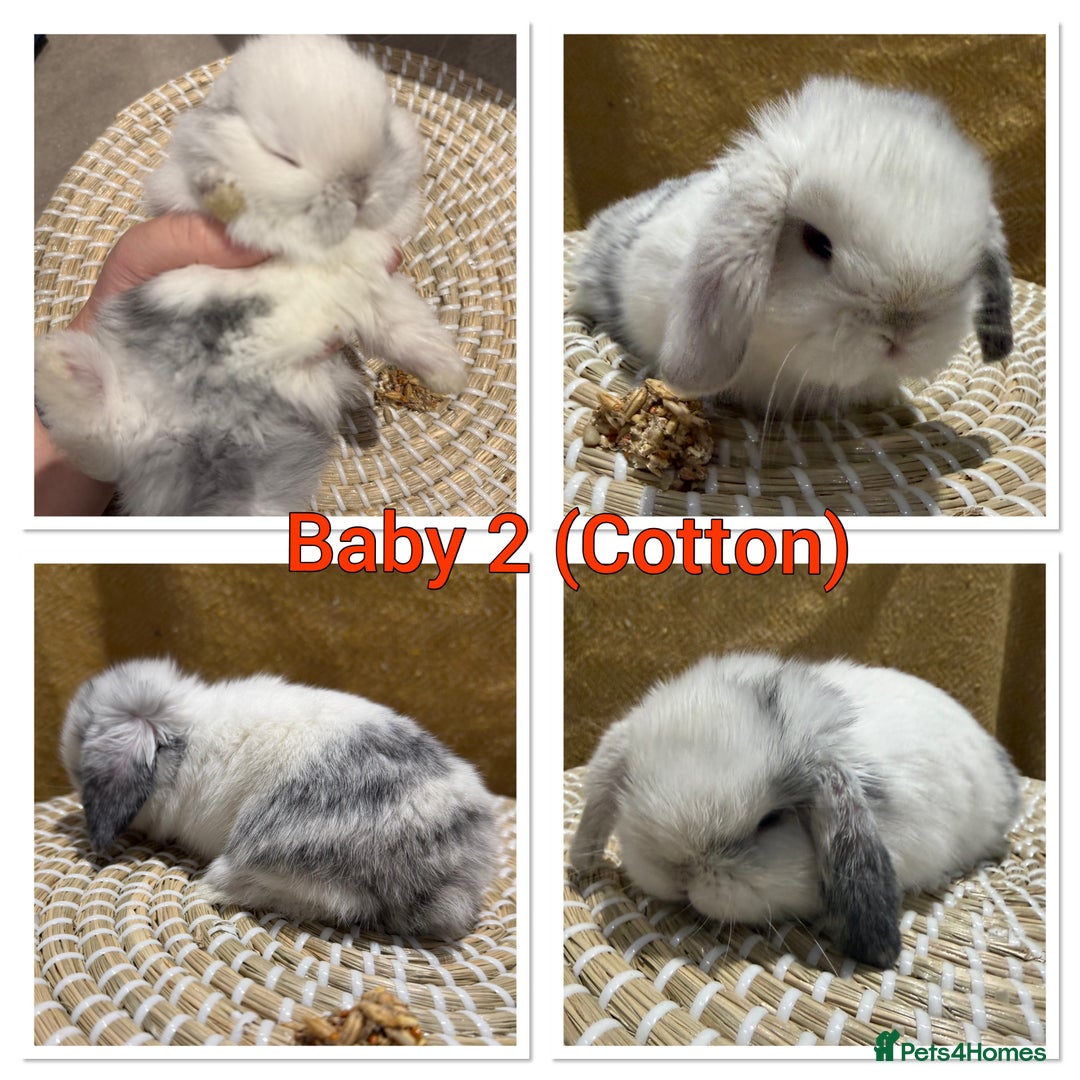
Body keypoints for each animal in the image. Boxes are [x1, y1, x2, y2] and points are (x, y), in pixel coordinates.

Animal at [35, 34, 467, 516]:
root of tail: (187, 439)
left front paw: (450, 376)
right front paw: (224, 190)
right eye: (283, 156)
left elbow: (407, 331)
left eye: (387, 134)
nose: (359, 187)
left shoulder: (376, 291)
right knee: (102, 438)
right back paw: (63, 365)